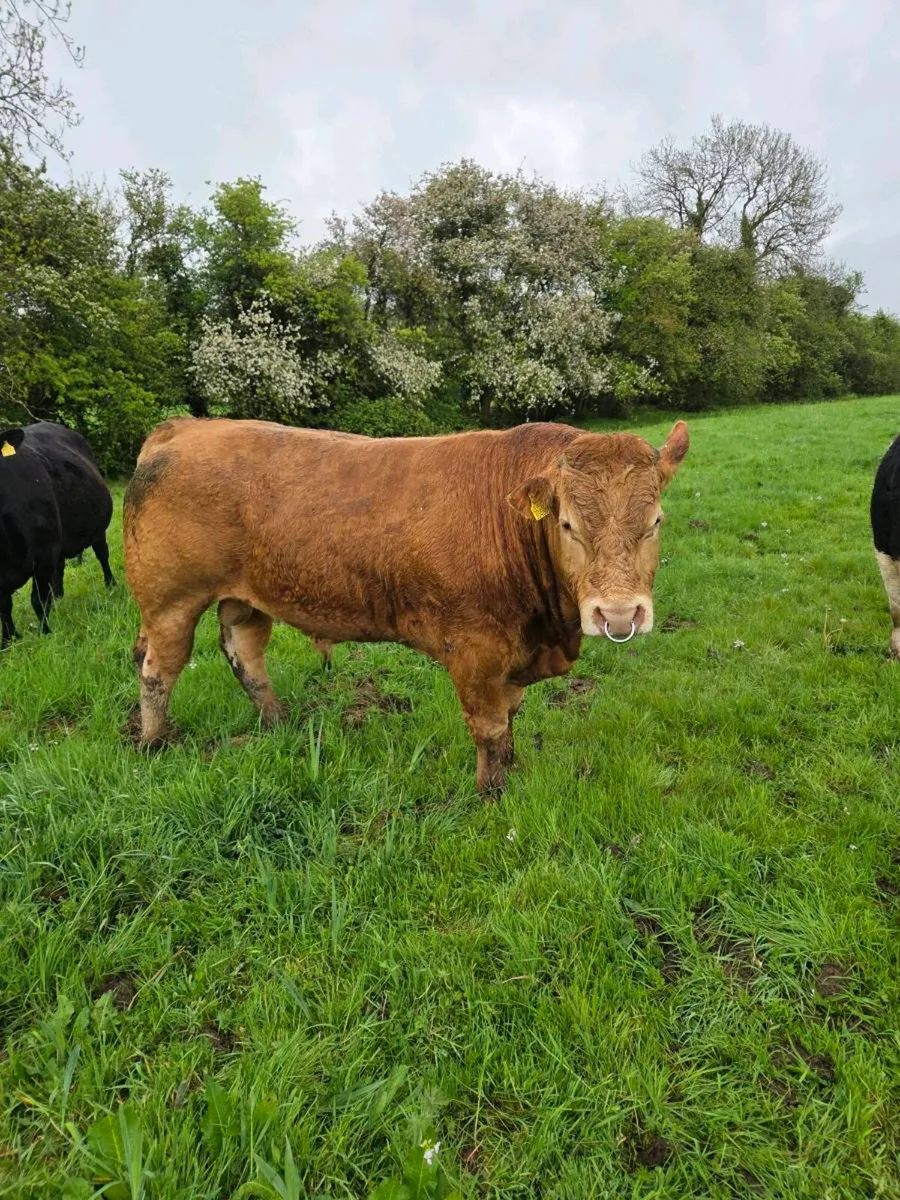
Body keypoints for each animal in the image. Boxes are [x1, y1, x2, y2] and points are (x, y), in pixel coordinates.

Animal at [0, 422, 114, 646]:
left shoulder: (44, 551)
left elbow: (38, 599)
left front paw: (45, 633)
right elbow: (4, 607)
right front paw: (10, 641)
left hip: (96, 528)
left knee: (102, 555)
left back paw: (111, 585)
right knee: (60, 567)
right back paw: (60, 596)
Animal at [123, 416, 689, 792]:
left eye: (655, 521)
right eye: (568, 524)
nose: (619, 615)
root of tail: (180, 428)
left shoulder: (514, 651)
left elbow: (509, 718)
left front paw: (512, 769)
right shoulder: (474, 651)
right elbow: (488, 726)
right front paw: (491, 793)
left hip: (244, 598)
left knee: (245, 653)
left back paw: (277, 723)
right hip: (170, 602)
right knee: (158, 670)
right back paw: (153, 743)